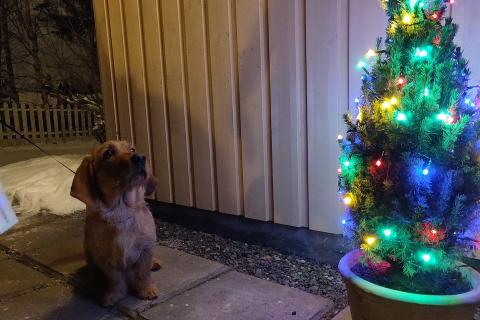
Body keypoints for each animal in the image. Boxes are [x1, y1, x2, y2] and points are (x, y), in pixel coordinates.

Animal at [71, 141, 160, 308]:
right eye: (108, 154)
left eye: (132, 148)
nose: (140, 157)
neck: (121, 212)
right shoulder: (105, 259)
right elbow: (115, 279)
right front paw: (115, 295)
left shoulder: (146, 249)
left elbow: (143, 273)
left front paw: (146, 290)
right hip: (88, 250)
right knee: (92, 268)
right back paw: (91, 278)